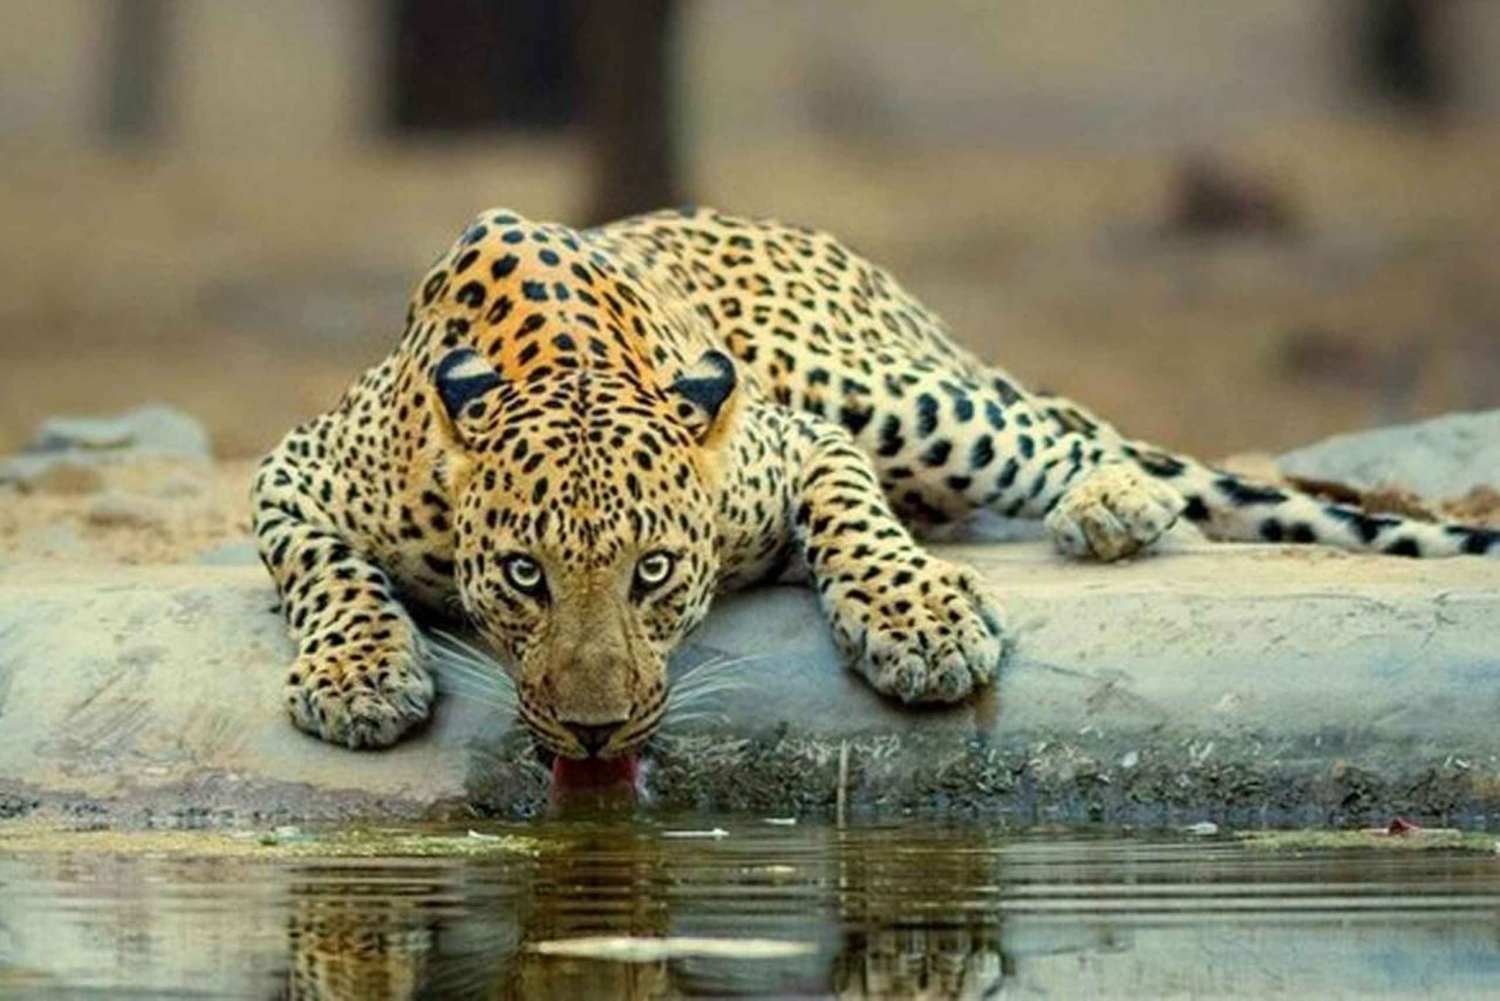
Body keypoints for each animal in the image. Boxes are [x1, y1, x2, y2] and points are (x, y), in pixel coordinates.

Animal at [251, 205, 1499, 758]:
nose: (597, 733)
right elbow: (325, 565)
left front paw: (920, 624)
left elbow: (854, 517)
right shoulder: (293, 467)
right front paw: (361, 674)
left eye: (653, 571)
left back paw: (1112, 504)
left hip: (886, 391)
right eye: (523, 573)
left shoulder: (801, 441)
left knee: (1061, 426)